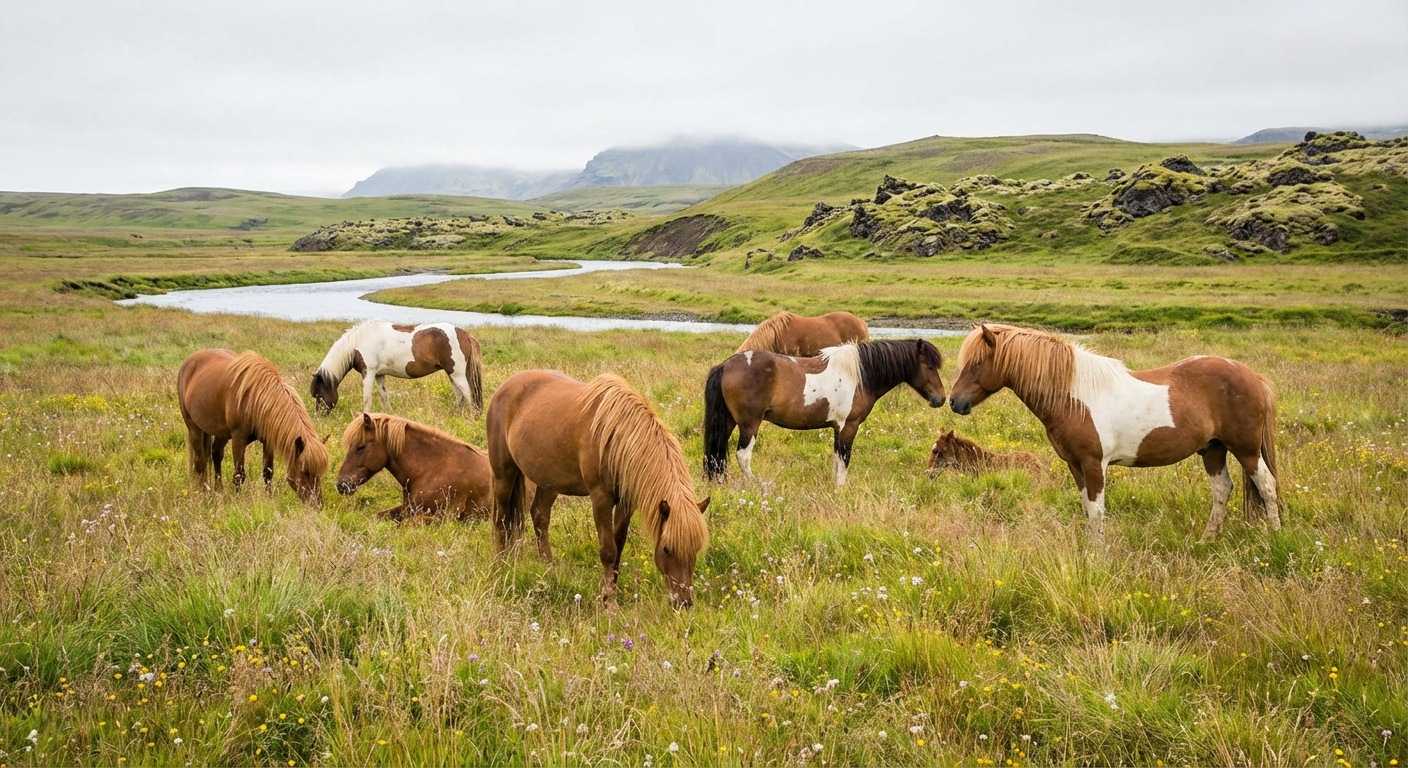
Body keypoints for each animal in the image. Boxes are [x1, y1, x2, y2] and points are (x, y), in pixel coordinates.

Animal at [177, 349, 329, 506]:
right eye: (305, 471)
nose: (317, 504)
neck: (255, 398)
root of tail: (189, 362)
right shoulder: (238, 439)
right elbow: (239, 474)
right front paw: (238, 501)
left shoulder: (268, 441)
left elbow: (268, 472)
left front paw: (269, 499)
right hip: (194, 428)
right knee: (200, 462)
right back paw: (204, 493)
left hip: (222, 433)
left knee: (216, 455)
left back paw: (219, 489)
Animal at [309, 320, 483, 416]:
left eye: (319, 396)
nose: (318, 417)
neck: (358, 342)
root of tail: (464, 334)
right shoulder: (379, 375)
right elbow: (384, 397)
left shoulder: (368, 373)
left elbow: (367, 399)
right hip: (451, 374)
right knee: (460, 396)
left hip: (457, 374)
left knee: (469, 396)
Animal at [486, 371, 709, 608]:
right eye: (667, 548)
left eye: (695, 548)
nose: (684, 603)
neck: (617, 438)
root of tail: (505, 387)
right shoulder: (600, 499)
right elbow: (608, 551)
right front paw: (609, 603)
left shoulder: (626, 503)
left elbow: (618, 546)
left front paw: (610, 592)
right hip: (504, 474)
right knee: (501, 519)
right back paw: (500, 564)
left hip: (549, 482)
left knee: (539, 516)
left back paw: (548, 567)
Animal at [703, 339, 946, 487]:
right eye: (930, 367)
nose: (941, 399)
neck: (859, 375)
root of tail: (725, 365)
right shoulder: (849, 426)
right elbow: (844, 459)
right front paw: (841, 490)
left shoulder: (838, 428)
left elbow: (836, 459)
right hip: (750, 423)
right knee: (743, 455)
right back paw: (756, 485)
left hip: (728, 422)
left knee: (716, 455)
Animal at [947, 324, 1280, 543]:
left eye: (978, 363)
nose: (954, 402)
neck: (1074, 397)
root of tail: (1253, 376)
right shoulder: (1076, 465)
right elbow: (1087, 508)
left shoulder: (1094, 464)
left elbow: (1097, 511)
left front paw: (1096, 557)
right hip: (1213, 449)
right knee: (1222, 489)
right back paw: (1206, 540)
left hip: (1246, 449)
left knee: (1267, 485)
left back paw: (1276, 537)